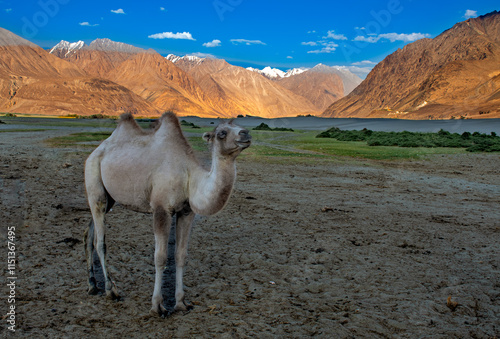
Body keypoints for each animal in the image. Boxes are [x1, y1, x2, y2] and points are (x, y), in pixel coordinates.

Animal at [84, 112, 254, 316]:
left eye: (239, 126)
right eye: (221, 133)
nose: (245, 133)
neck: (189, 176)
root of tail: (95, 151)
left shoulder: (187, 212)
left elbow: (180, 255)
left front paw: (181, 303)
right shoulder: (161, 209)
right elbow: (161, 257)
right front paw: (157, 306)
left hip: (109, 198)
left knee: (89, 233)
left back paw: (92, 285)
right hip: (94, 182)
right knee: (100, 241)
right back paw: (111, 290)